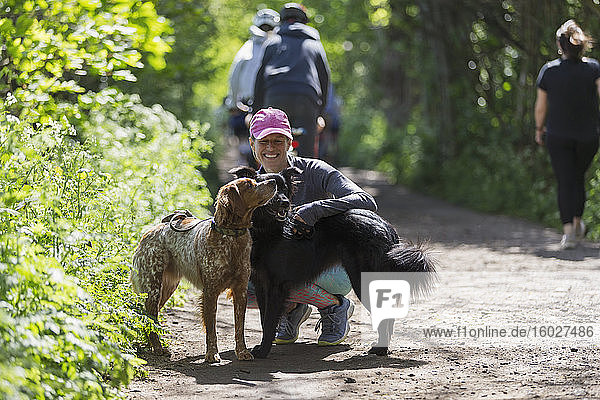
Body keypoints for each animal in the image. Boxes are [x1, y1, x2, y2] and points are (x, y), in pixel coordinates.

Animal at [131, 177, 276, 362]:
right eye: (249, 185)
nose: (273, 181)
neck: (231, 236)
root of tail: (150, 231)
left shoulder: (240, 290)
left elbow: (239, 327)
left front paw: (242, 352)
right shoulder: (210, 292)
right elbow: (211, 329)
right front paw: (212, 354)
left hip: (166, 288)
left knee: (148, 318)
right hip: (153, 289)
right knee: (149, 317)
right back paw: (157, 348)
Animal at [230, 166, 436, 360]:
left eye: (284, 189)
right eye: (270, 189)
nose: (285, 203)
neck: (268, 228)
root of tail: (387, 227)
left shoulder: (276, 286)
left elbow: (269, 320)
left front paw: (263, 351)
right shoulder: (260, 284)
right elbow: (264, 319)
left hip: (362, 280)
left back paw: (381, 349)